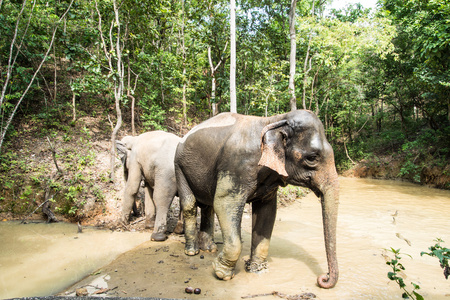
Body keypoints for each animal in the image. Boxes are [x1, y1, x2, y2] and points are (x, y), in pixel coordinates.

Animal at [174, 110, 340, 288]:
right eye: (312, 158)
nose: (323, 278)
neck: (274, 120)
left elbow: (267, 212)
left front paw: (257, 270)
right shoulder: (236, 166)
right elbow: (224, 203)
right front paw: (222, 274)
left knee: (208, 206)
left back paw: (209, 249)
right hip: (179, 166)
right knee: (190, 205)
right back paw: (192, 251)